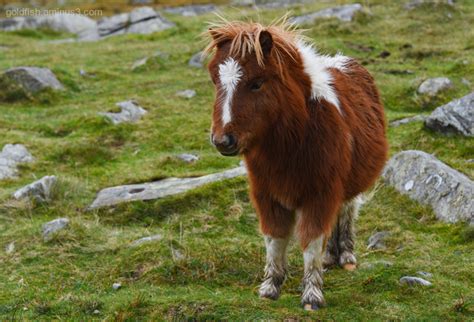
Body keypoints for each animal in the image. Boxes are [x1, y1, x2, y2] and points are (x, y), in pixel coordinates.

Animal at [205, 18, 388, 310]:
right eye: (214, 80)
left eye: (257, 83)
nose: (223, 141)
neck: (293, 143)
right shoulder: (267, 195)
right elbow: (275, 239)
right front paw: (270, 287)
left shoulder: (319, 194)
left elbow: (310, 242)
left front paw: (312, 295)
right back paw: (331, 257)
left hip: (349, 184)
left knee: (347, 210)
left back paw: (346, 257)